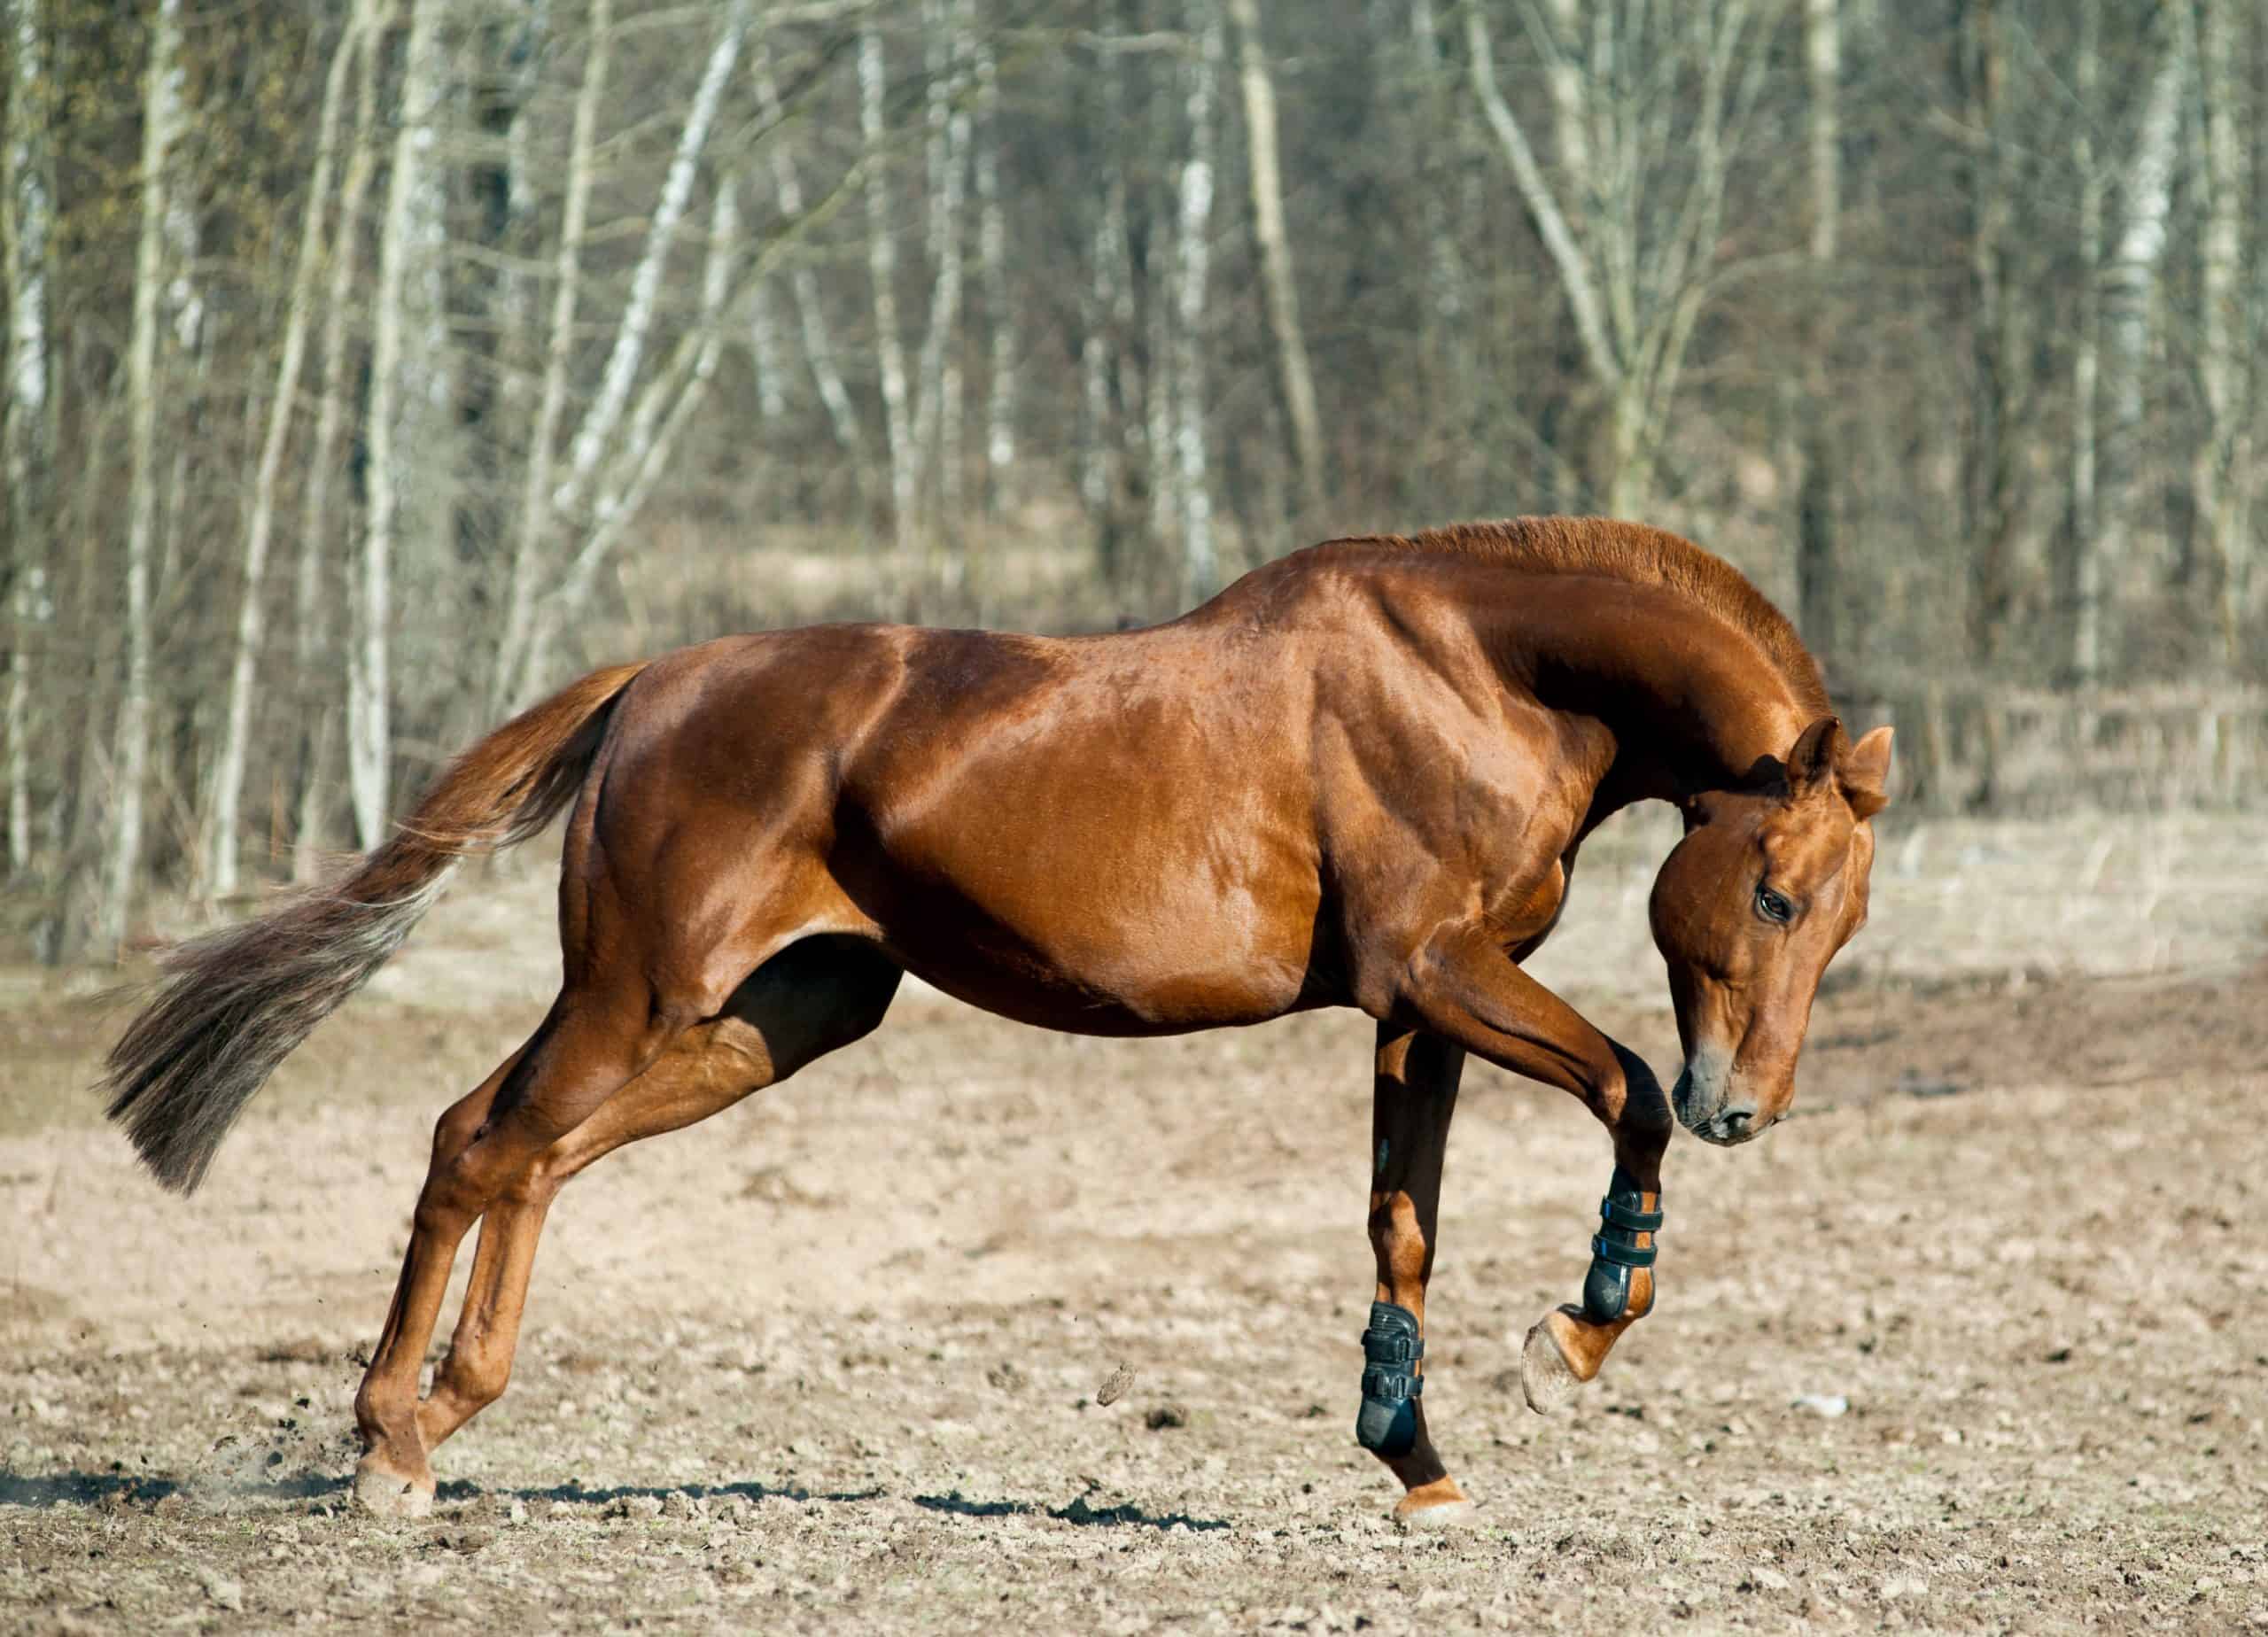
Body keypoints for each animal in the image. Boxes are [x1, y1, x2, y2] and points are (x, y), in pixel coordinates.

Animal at [114, 519, 1896, 1514]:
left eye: (1846, 917)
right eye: (1776, 896)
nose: (1749, 1104)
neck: (1484, 668)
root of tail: (650, 686)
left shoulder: (1419, 1007)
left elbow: (1404, 1225)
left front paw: (1412, 1453)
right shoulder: (1445, 973)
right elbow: (1622, 1091)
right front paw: (1570, 1340)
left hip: (767, 1019)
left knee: (520, 1151)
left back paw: (434, 1417)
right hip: (637, 992)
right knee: (480, 1143)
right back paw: (387, 1447)